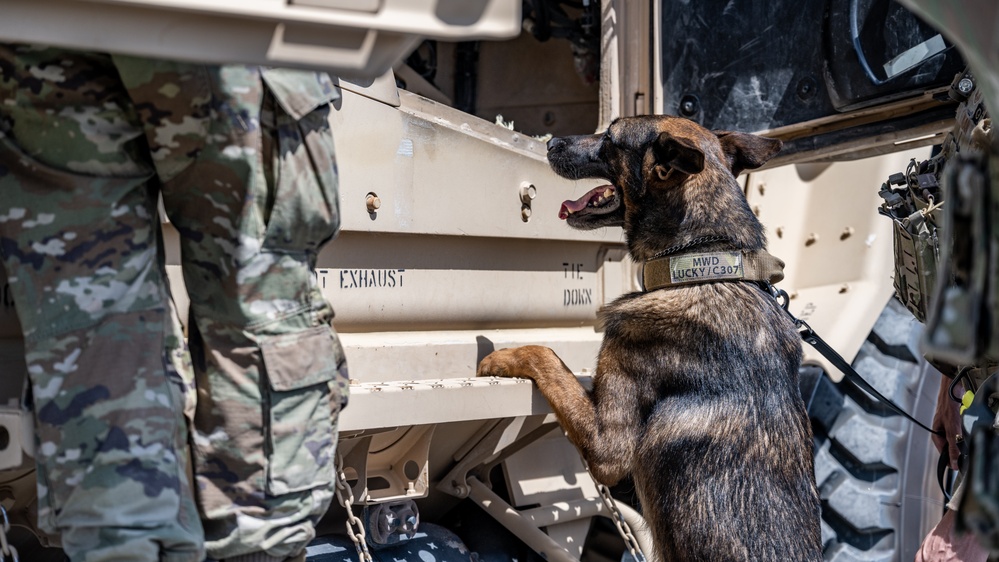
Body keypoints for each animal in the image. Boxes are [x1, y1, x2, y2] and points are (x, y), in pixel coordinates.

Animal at [480, 116, 824, 556]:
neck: (700, 267)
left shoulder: (608, 447)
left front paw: (499, 356)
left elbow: (546, 355)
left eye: (610, 139)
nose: (552, 142)